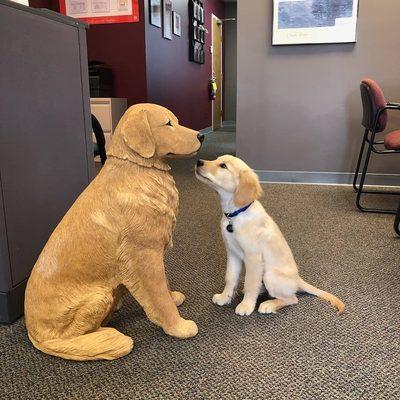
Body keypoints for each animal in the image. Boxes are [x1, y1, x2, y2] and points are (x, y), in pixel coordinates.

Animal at [25, 104, 203, 362]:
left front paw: (173, 297)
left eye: (177, 122)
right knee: (68, 340)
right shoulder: (144, 255)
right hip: (96, 297)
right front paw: (177, 326)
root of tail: (34, 333)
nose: (201, 136)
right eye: (168, 124)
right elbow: (158, 294)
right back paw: (110, 337)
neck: (138, 169)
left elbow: (164, 285)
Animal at [195, 155, 344, 318]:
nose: (198, 161)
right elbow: (230, 278)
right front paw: (224, 297)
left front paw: (246, 305)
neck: (235, 214)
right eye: (216, 159)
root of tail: (298, 279)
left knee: (292, 298)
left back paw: (269, 304)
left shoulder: (253, 257)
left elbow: (250, 282)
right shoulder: (232, 253)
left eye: (223, 166)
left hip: (270, 274)